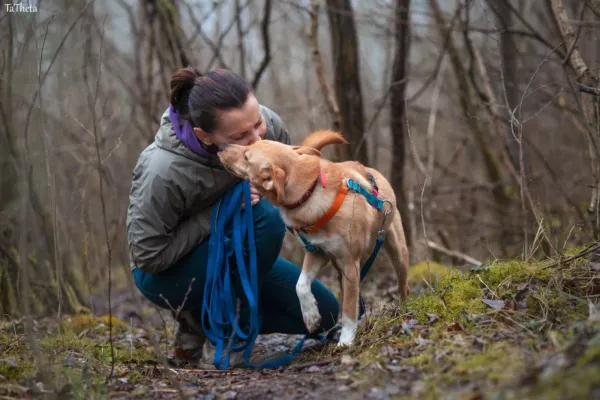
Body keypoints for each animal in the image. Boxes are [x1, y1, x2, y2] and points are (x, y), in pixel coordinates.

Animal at [218, 130, 410, 346]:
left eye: (246, 156)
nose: (222, 147)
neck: (309, 193)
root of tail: (370, 170)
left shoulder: (350, 265)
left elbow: (349, 307)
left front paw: (346, 339)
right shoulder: (316, 253)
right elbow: (300, 285)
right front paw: (311, 317)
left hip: (396, 250)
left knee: (402, 286)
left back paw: (402, 311)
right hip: (338, 267)